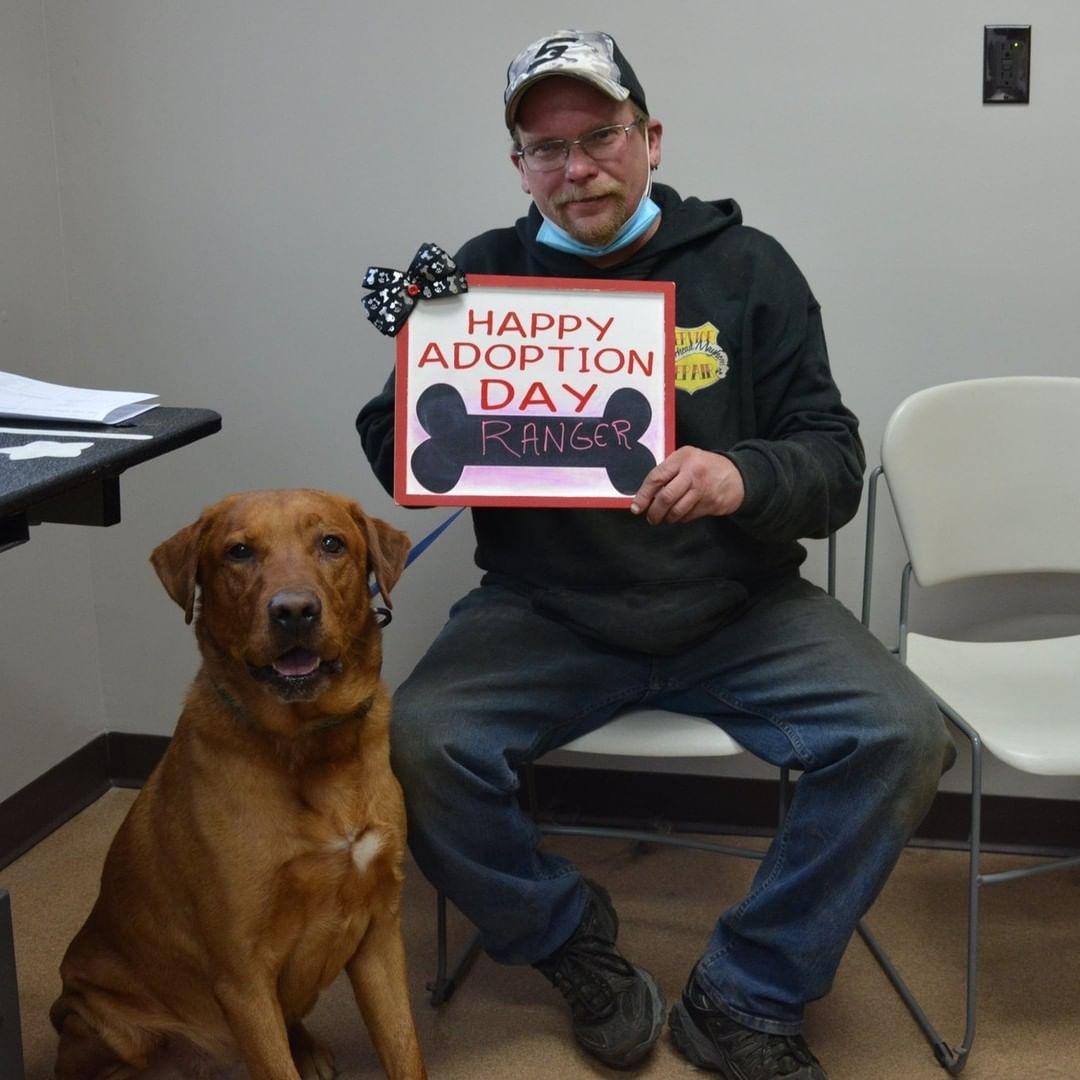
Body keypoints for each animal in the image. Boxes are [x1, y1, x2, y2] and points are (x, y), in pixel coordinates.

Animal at [50, 492, 423, 1080]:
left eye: (332, 543)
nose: (293, 611)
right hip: (105, 1023)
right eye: (239, 552)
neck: (310, 745)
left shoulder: (380, 933)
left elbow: (404, 1048)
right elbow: (274, 1064)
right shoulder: (243, 977)